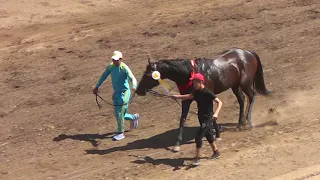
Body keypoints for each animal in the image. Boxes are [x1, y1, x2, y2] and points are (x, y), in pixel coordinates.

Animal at [135, 47, 270, 150]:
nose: (138, 90)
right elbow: (183, 119)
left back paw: (249, 122)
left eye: (148, 75)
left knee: (251, 96)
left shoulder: (208, 97)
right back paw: (239, 124)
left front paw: (215, 135)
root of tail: (248, 52)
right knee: (241, 99)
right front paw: (177, 144)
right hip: (235, 86)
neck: (191, 74)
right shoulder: (187, 99)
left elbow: (210, 115)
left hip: (245, 84)